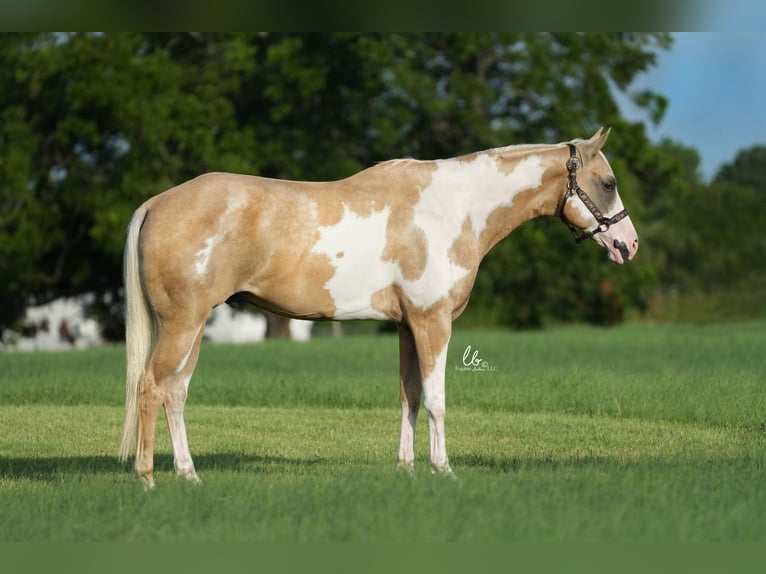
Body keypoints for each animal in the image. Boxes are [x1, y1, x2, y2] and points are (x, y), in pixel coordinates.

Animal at [117, 128, 640, 488]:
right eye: (608, 182)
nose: (628, 245)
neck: (454, 209)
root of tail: (156, 203)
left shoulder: (408, 326)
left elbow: (410, 396)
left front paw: (407, 469)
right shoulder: (432, 322)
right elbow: (436, 399)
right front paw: (444, 469)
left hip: (193, 328)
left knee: (176, 394)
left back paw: (189, 475)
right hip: (183, 325)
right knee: (151, 387)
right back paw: (147, 478)